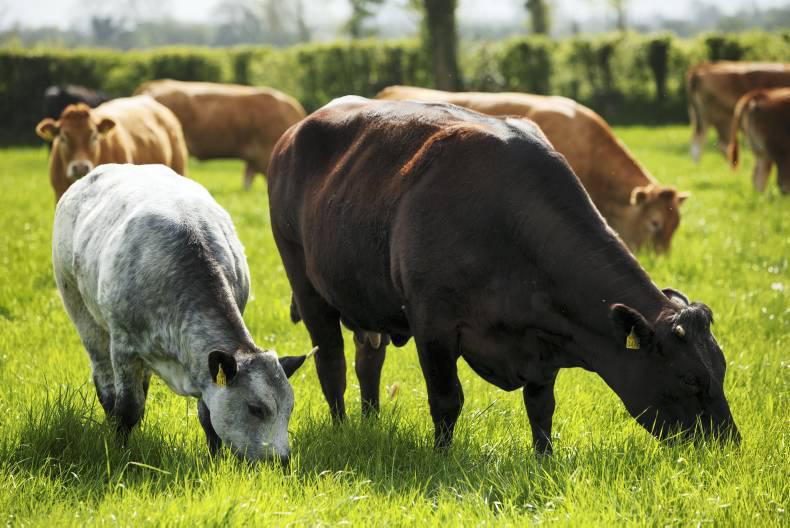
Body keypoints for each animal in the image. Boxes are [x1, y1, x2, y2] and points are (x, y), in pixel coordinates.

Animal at [53, 163, 310, 462]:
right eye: (256, 408)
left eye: (290, 408)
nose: (282, 459)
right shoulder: (124, 346)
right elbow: (128, 408)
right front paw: (120, 451)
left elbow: (208, 416)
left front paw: (215, 458)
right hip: (80, 310)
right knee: (105, 382)